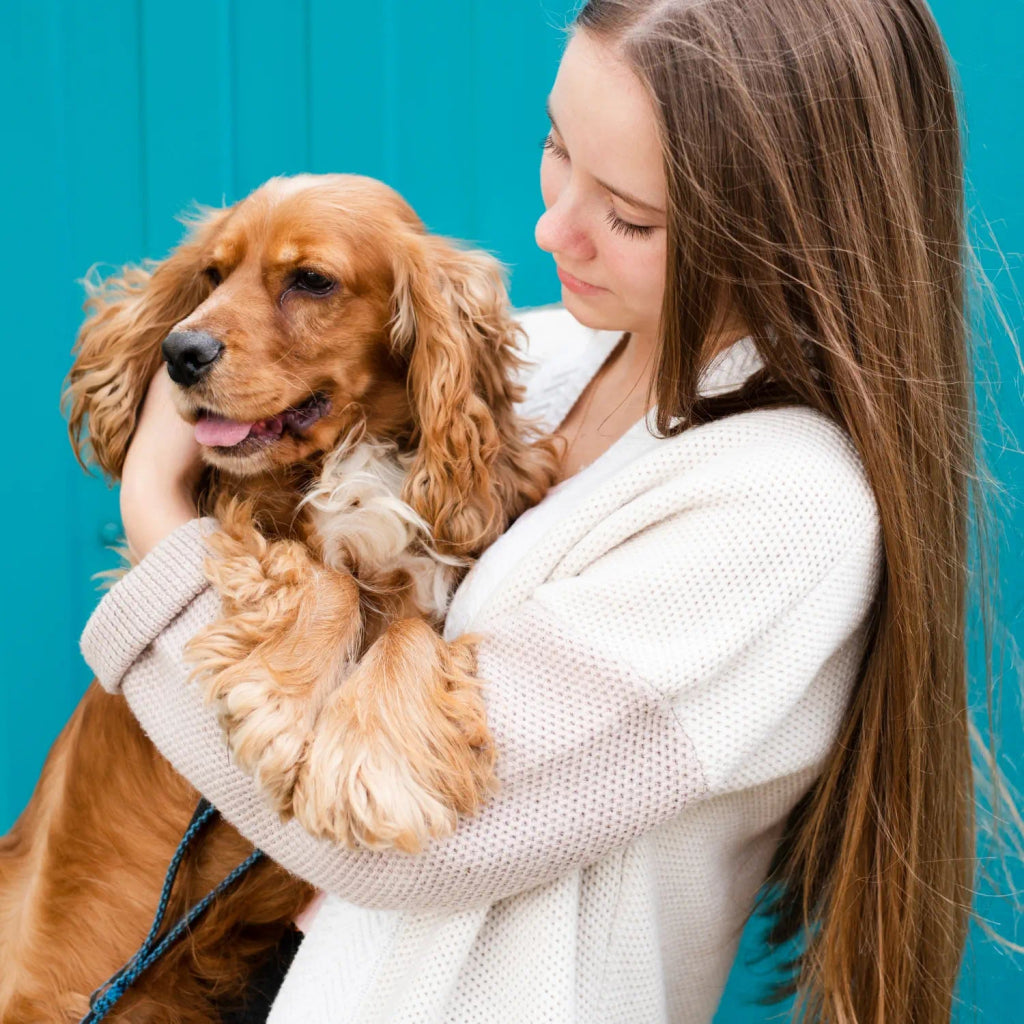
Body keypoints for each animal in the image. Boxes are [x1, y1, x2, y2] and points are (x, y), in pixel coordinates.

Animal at [0, 172, 561, 1019]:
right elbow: (324, 578)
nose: (179, 351)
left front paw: (373, 758)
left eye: (311, 281)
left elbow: (407, 631)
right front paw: (283, 704)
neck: (345, 458)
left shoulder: (425, 580)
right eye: (212, 274)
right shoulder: (227, 536)